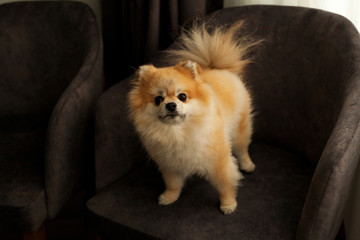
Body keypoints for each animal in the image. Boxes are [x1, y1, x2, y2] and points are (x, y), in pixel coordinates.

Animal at [128, 22, 258, 214]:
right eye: (158, 99)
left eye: (182, 96)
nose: (171, 105)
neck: (177, 132)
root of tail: (217, 68)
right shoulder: (169, 164)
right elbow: (173, 184)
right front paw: (169, 197)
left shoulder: (218, 161)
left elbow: (224, 184)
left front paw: (228, 204)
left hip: (240, 128)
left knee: (242, 148)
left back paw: (248, 165)